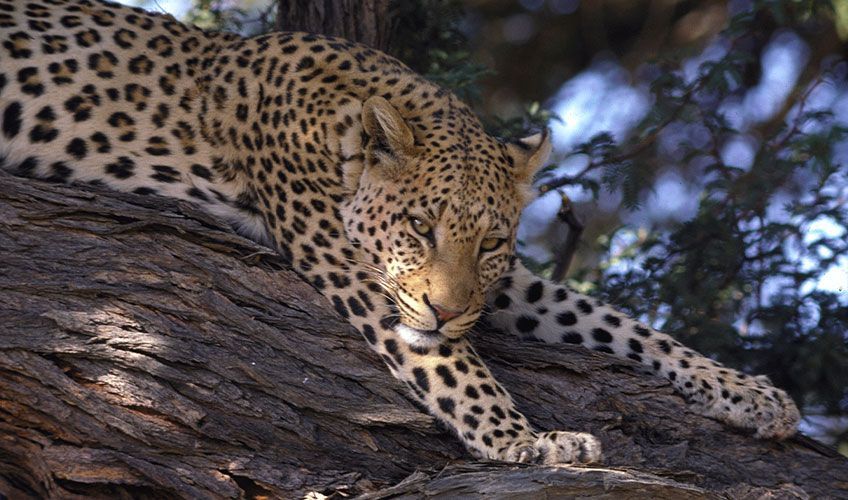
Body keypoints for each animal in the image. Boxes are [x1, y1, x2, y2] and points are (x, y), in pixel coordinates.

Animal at [0, 0, 800, 465]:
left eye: (490, 244)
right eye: (419, 226)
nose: (444, 312)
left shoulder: (495, 285)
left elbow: (615, 322)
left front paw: (750, 395)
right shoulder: (354, 268)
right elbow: (457, 370)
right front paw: (528, 440)